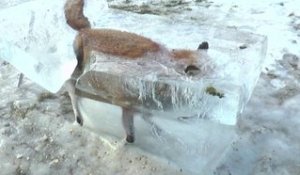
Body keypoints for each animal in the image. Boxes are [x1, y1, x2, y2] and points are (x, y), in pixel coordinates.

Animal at [63, 0, 209, 143]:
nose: (205, 113)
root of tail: (86, 30)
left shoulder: (145, 107)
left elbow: (149, 120)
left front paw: (158, 131)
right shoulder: (127, 105)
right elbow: (131, 136)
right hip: (81, 74)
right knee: (70, 86)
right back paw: (79, 117)